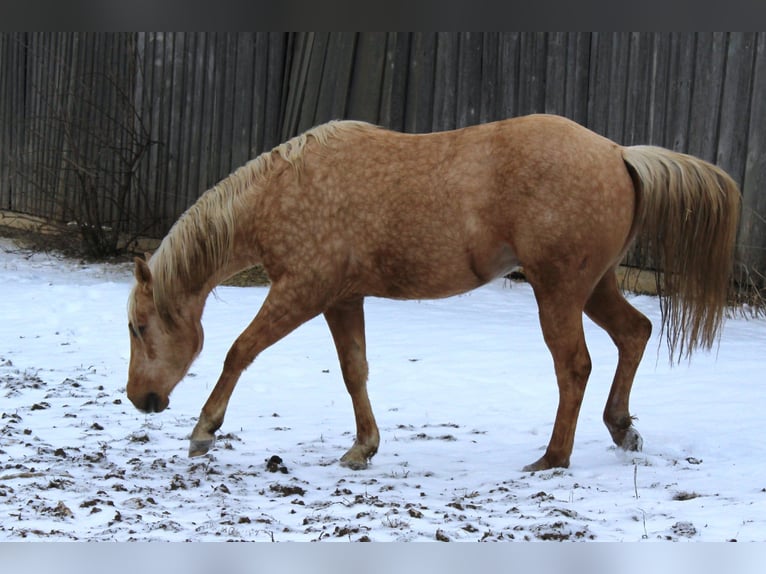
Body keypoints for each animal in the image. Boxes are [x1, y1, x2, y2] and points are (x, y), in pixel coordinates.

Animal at [126, 114, 740, 472]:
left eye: (139, 326)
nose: (140, 399)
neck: (287, 189)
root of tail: (618, 154)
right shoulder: (341, 299)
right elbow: (354, 371)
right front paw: (363, 447)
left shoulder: (302, 291)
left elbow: (239, 351)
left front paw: (204, 431)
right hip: (593, 286)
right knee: (635, 333)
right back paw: (621, 429)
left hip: (558, 291)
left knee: (574, 367)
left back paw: (553, 458)